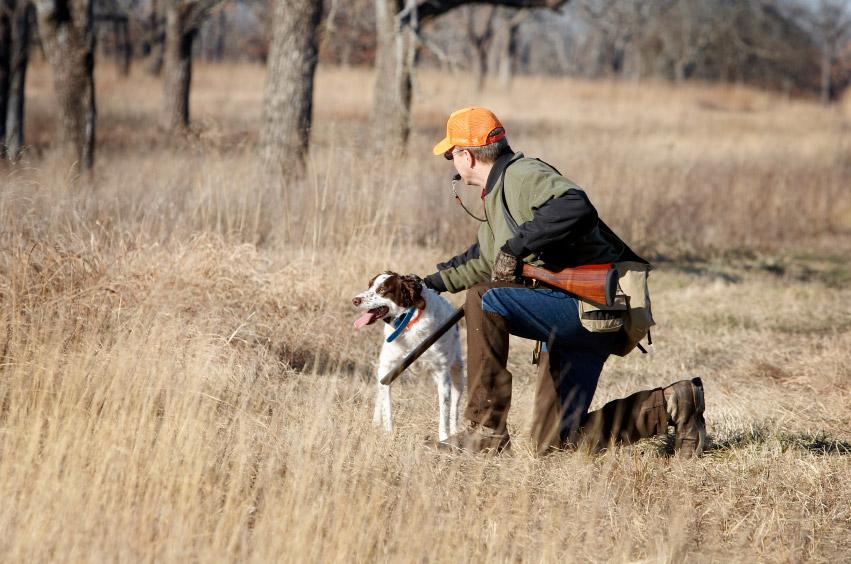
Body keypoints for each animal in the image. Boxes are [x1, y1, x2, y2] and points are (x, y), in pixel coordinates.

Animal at [356, 272, 470, 440]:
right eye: (369, 286)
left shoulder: (441, 373)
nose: (355, 300)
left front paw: (444, 438)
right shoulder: (387, 369)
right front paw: (387, 433)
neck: (408, 323)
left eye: (382, 289)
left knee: (454, 407)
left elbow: (444, 413)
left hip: (458, 373)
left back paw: (455, 432)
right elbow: (386, 406)